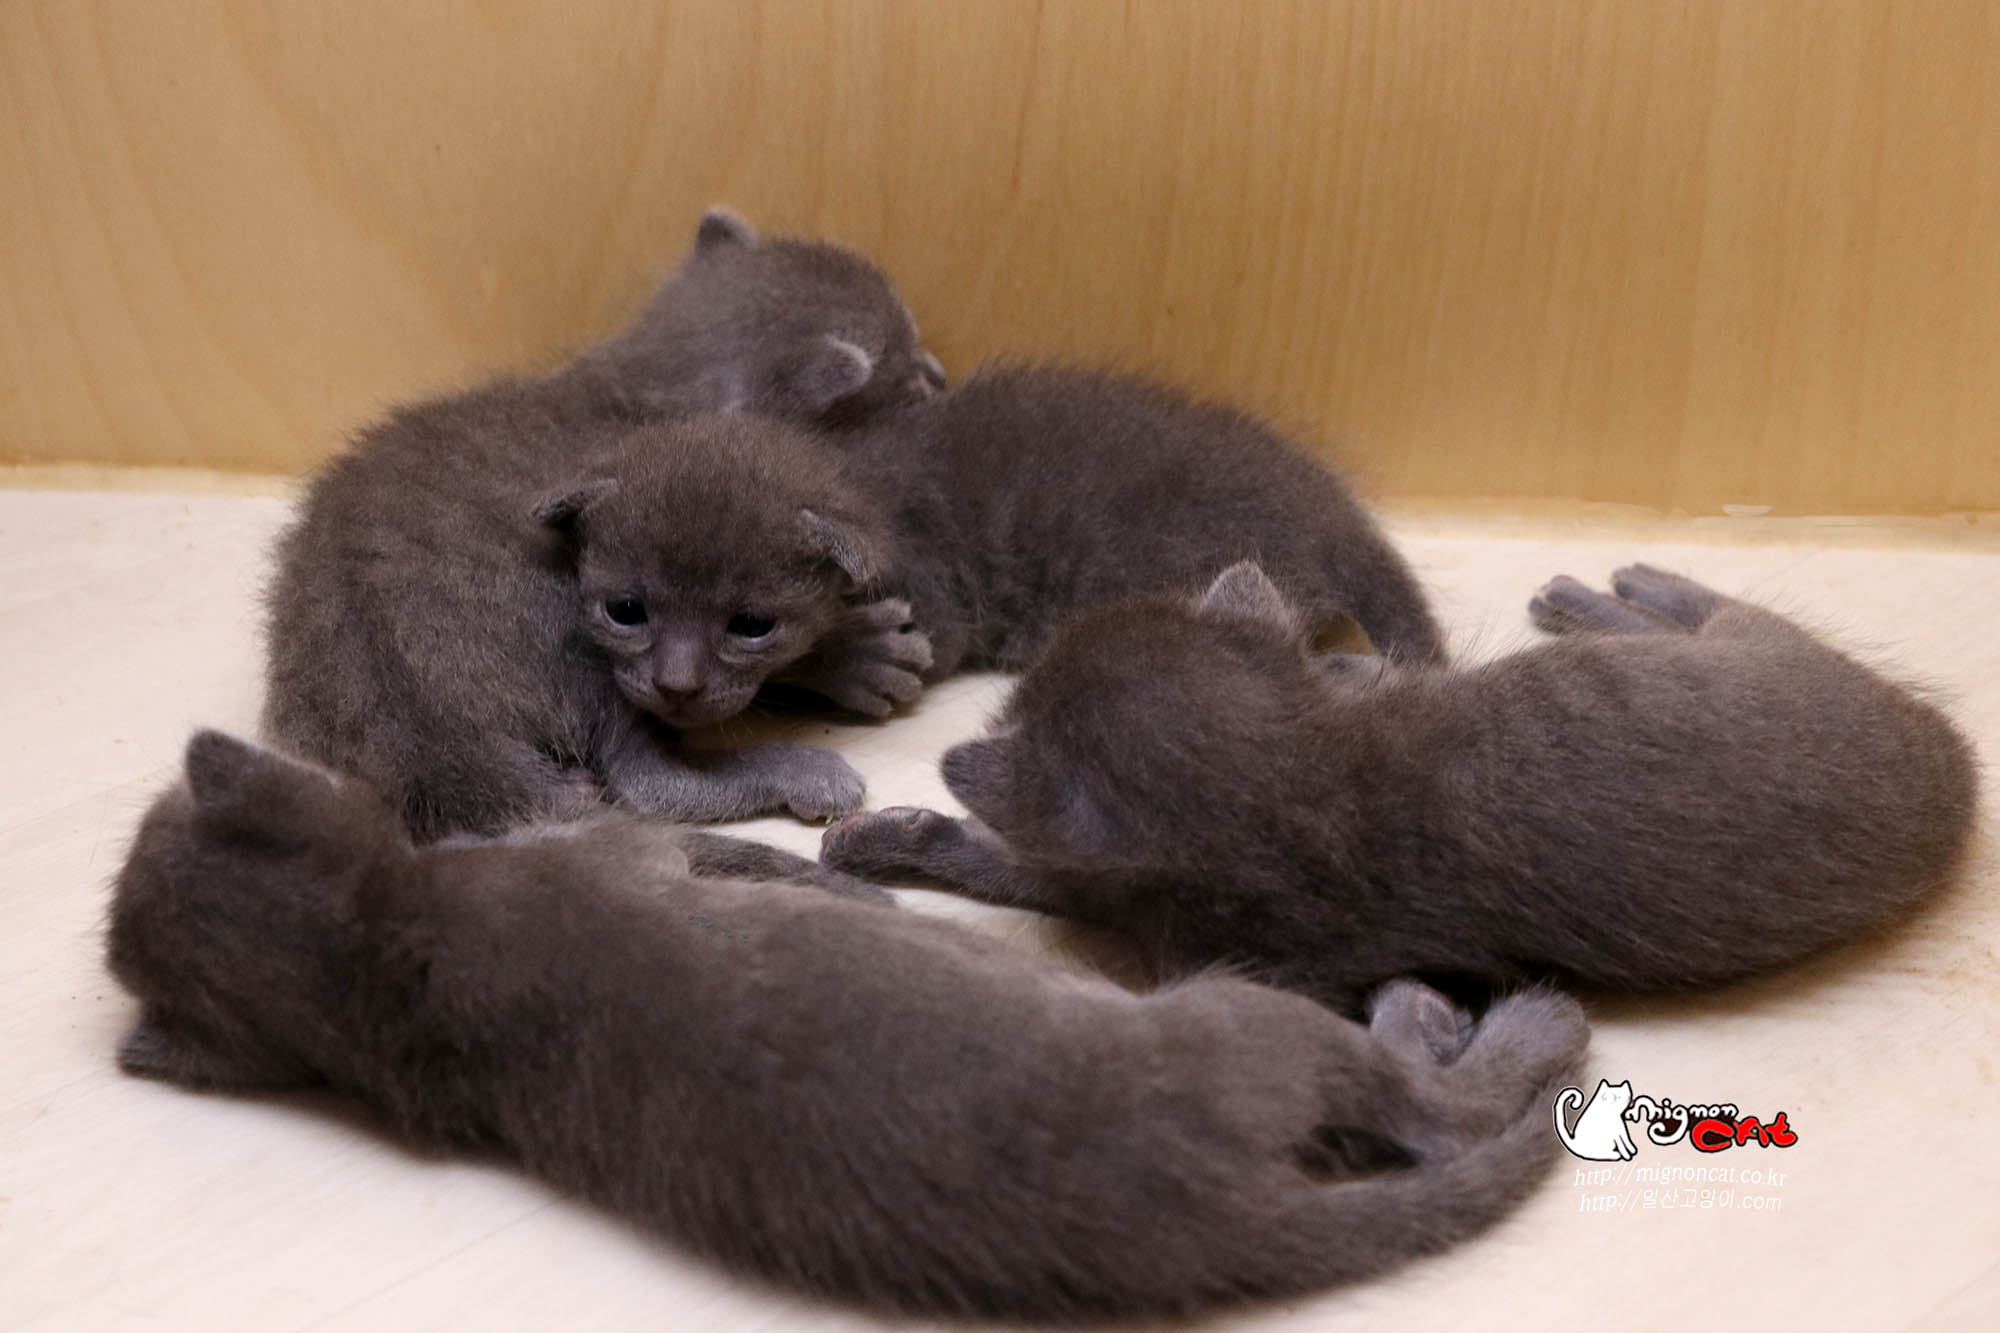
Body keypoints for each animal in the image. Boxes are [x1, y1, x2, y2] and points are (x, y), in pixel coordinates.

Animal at [108, 730, 1588, 1320]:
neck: (374, 954)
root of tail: (1206, 1221)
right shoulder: (627, 853)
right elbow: (737, 856)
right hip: (1243, 1020)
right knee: (1429, 1103)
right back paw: (1490, 1014)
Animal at [264, 210, 939, 840]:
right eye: (903, 367)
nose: (937, 374)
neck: (636, 391)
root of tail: (416, 726)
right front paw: (858, 651)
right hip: (575, 639)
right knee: (646, 776)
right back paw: (801, 769)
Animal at [823, 561, 1978, 1014]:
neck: (1301, 788)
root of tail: (1958, 767)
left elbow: (1023, 863)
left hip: (1764, 648)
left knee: (1724, 609)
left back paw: (1616, 591)